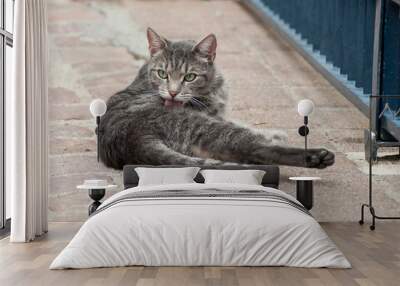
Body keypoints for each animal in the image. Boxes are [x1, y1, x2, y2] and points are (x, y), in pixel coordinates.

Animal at [99, 27, 334, 169]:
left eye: (190, 77)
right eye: (162, 74)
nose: (173, 92)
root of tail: (131, 140)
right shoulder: (216, 116)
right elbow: (246, 127)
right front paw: (272, 134)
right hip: (206, 126)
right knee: (254, 148)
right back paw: (315, 157)